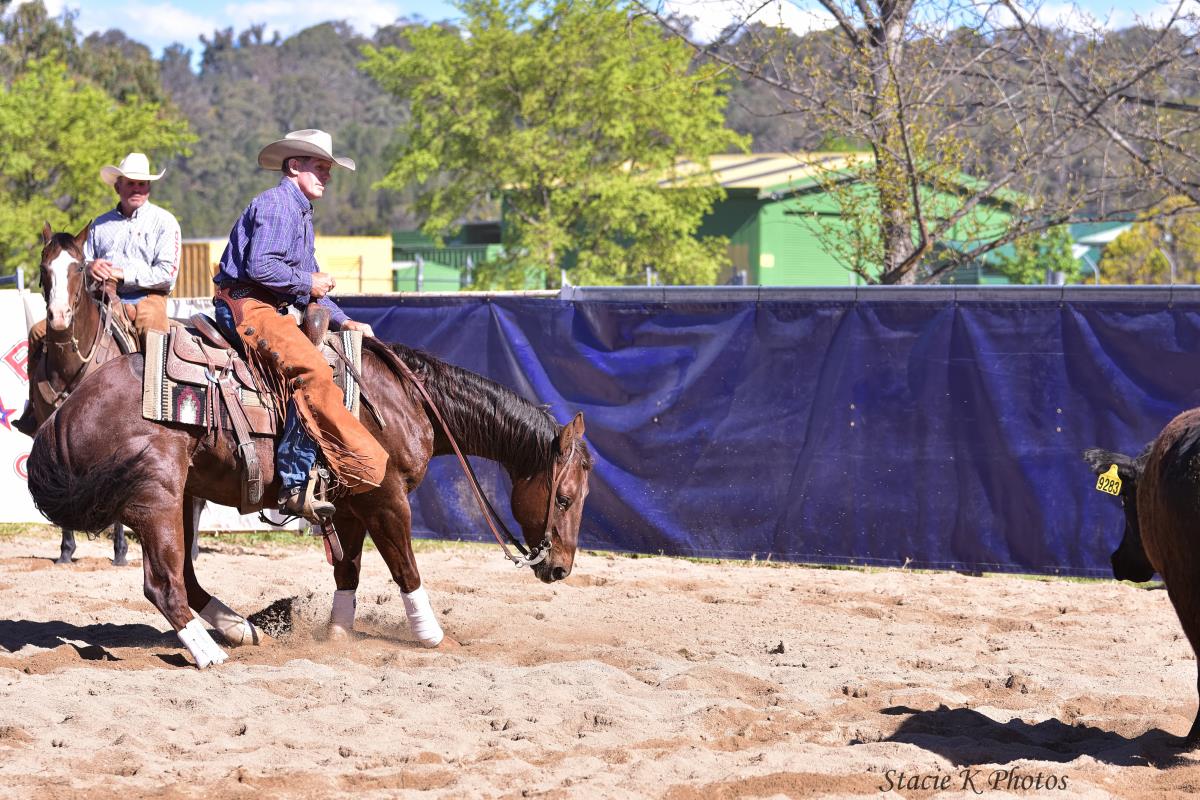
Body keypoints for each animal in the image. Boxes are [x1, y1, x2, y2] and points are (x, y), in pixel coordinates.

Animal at [26, 329, 592, 667]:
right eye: (564, 499)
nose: (560, 567)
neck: (401, 399)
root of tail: (62, 417)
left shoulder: (351, 505)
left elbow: (349, 570)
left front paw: (338, 635)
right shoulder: (387, 498)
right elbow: (405, 568)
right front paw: (434, 637)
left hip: (183, 497)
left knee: (184, 575)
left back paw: (242, 630)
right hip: (156, 496)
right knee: (163, 583)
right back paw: (211, 654)